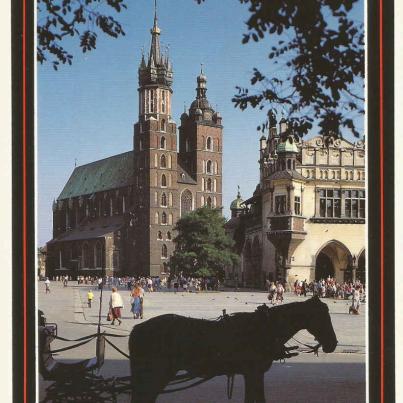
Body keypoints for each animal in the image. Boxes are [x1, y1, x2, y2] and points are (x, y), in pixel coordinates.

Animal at [129, 296, 338, 402]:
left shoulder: (253, 374)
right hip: (156, 374)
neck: (264, 327)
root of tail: (137, 329)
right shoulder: (253, 373)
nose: (333, 343)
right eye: (322, 317)